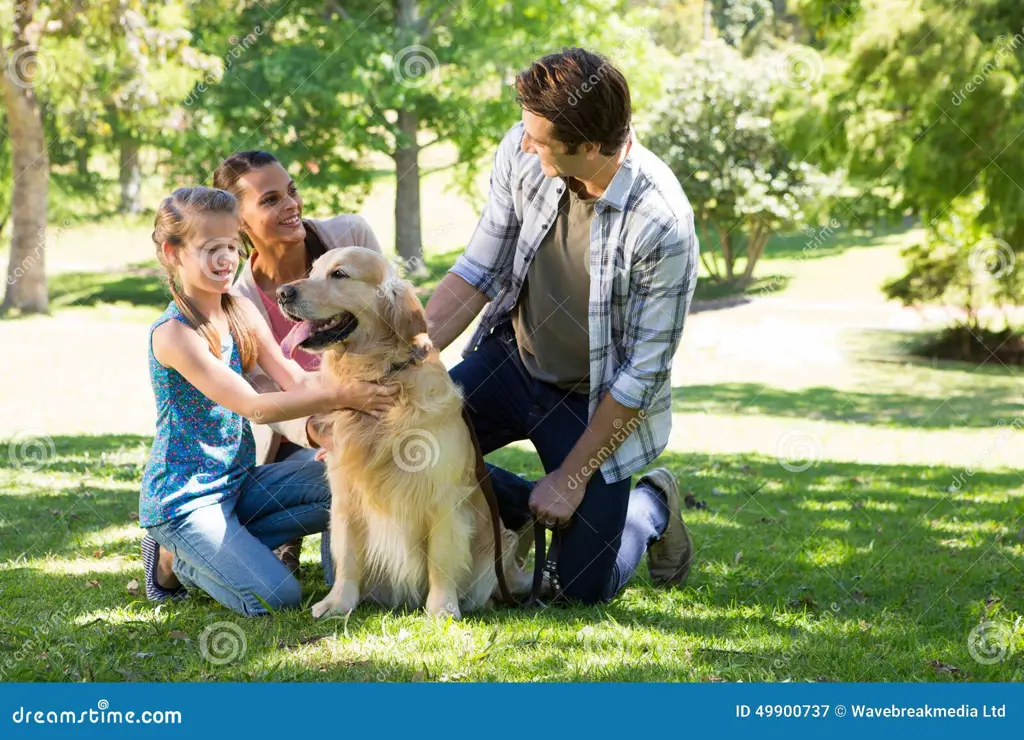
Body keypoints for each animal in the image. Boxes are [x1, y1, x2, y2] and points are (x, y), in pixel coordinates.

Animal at [276, 247, 528, 618]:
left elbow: (441, 560)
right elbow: (347, 557)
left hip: (501, 546)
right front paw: (338, 603)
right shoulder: (346, 495)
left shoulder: (443, 497)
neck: (383, 374)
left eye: (339, 274)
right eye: (312, 271)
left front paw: (441, 609)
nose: (282, 293)